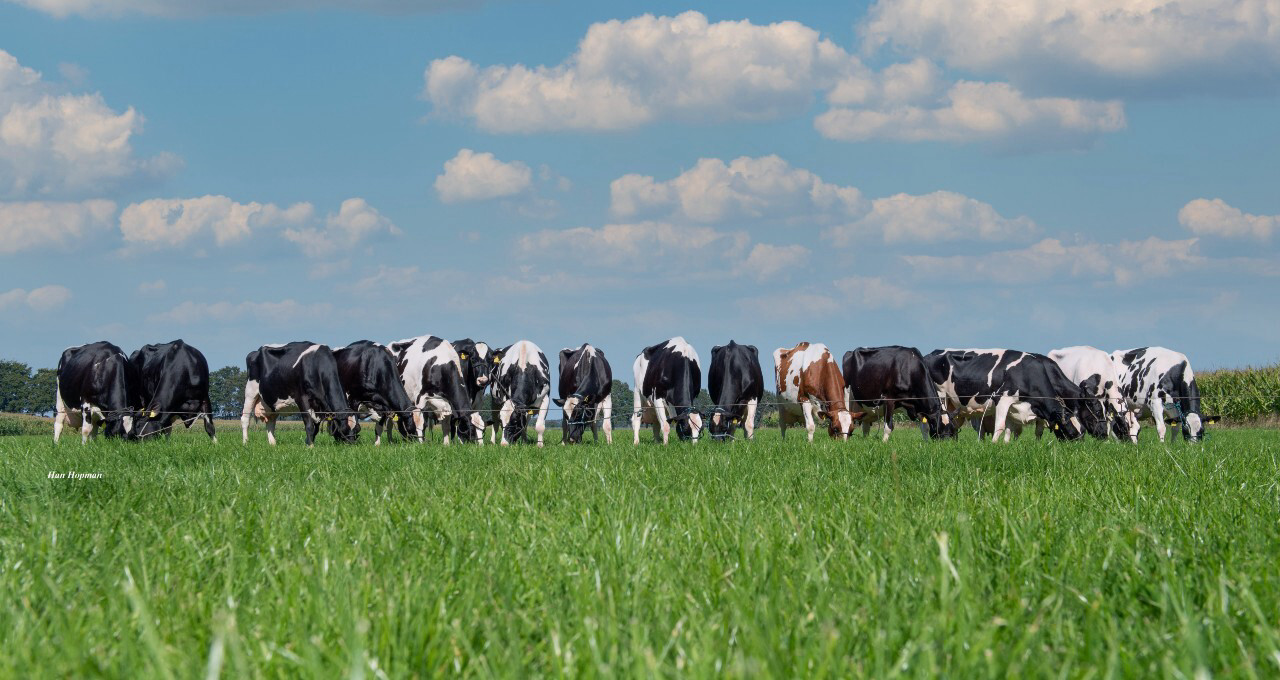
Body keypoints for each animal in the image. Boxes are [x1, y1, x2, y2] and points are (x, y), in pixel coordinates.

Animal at [921, 348, 1111, 445]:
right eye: (1096, 410)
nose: (1104, 434)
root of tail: (931, 353)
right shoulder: (1003, 399)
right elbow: (1000, 427)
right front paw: (994, 446)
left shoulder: (1017, 408)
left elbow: (1011, 429)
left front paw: (1008, 445)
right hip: (937, 396)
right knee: (929, 421)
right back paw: (928, 442)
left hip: (953, 405)